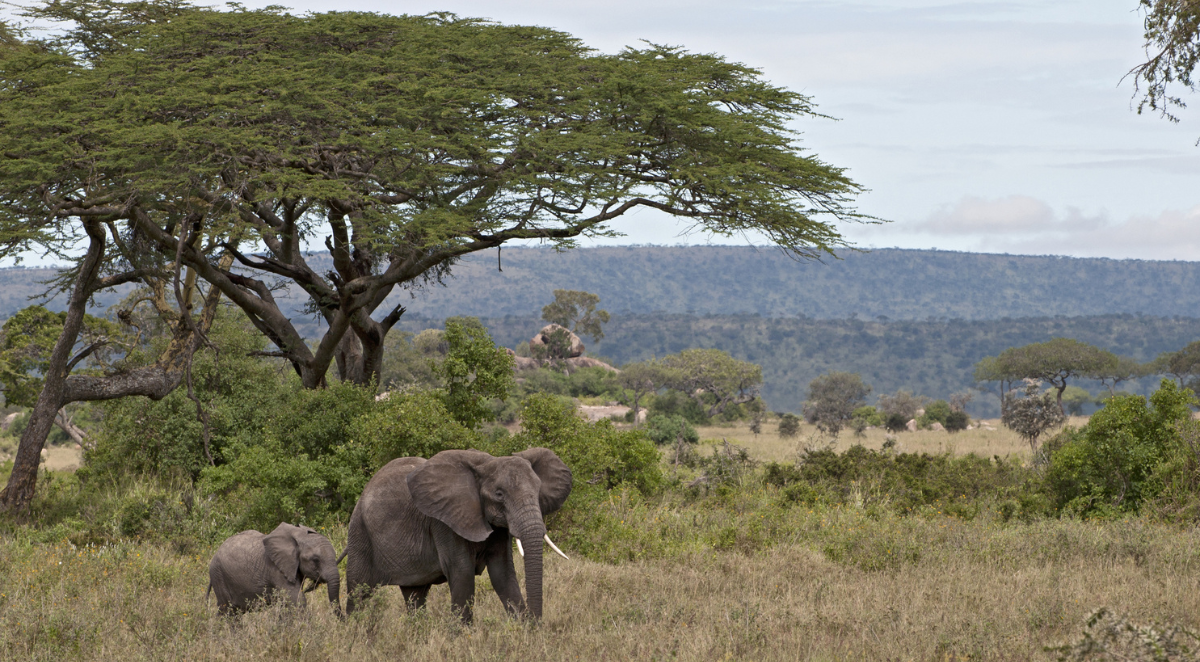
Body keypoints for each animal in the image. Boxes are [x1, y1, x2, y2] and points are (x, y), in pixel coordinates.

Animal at [207, 523, 341, 615]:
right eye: (315, 560)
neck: (298, 535)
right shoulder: (276, 568)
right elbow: (297, 599)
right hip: (218, 576)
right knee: (229, 612)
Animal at [342, 448, 572, 623]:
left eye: (538, 490)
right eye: (499, 494)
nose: (537, 622)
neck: (486, 462)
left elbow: (503, 574)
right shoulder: (444, 522)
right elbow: (462, 574)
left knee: (414, 596)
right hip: (360, 533)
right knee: (358, 592)